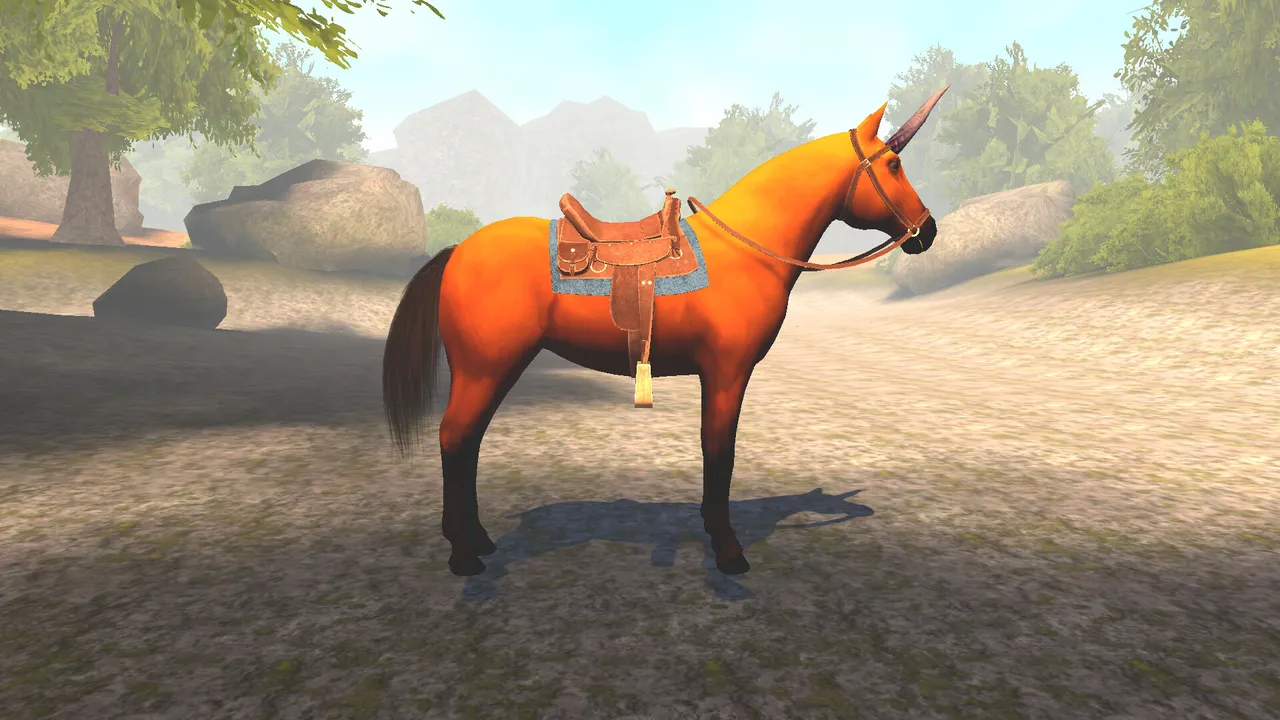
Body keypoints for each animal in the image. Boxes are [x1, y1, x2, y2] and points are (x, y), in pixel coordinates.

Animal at [383, 88, 948, 578]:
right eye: (892, 165)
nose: (928, 230)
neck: (744, 249)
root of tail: (458, 251)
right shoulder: (726, 373)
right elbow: (720, 450)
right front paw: (727, 549)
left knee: (469, 442)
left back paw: (479, 540)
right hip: (485, 368)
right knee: (455, 438)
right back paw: (463, 555)